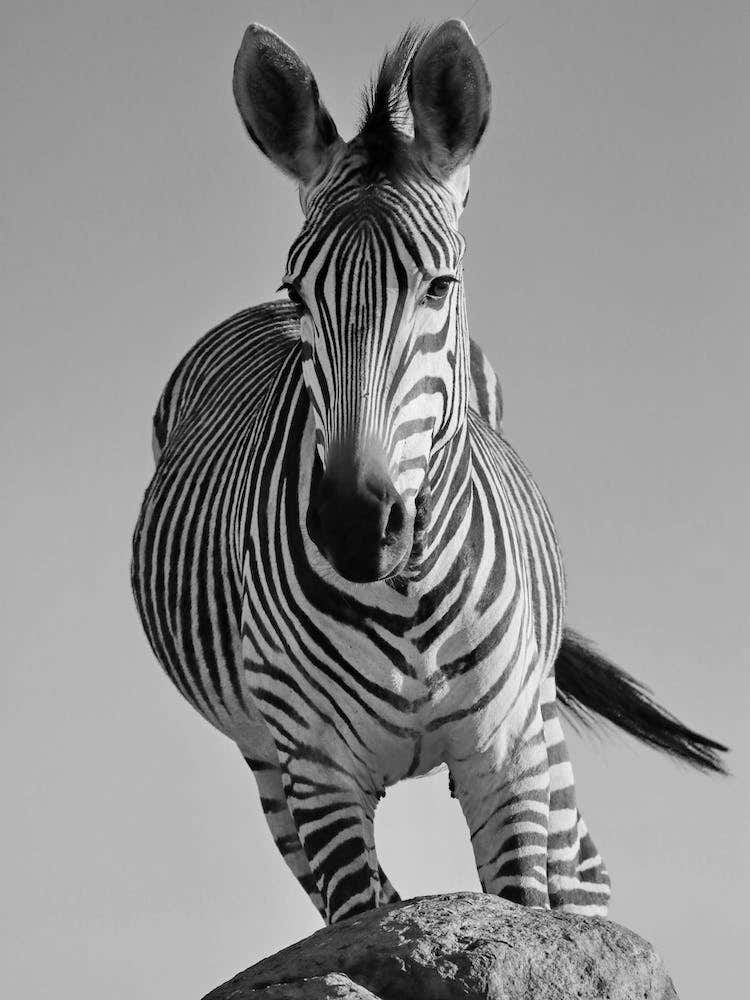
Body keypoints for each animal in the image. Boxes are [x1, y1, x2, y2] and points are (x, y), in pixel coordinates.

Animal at [132, 20, 726, 926]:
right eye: (299, 294)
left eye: (440, 286)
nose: (353, 526)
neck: (407, 597)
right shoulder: (315, 773)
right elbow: (366, 915)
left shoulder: (509, 759)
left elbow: (525, 909)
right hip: (265, 762)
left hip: (541, 727)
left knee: (582, 878)